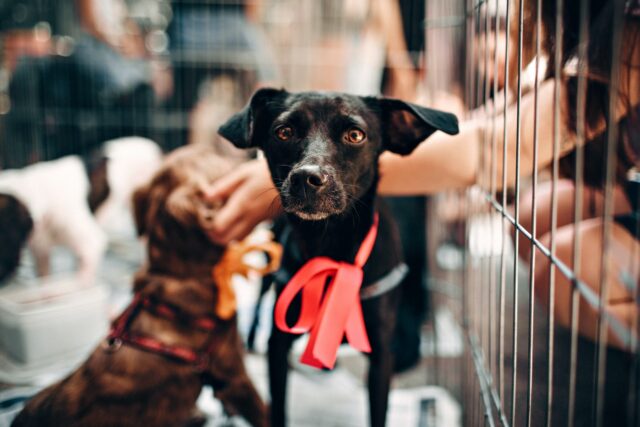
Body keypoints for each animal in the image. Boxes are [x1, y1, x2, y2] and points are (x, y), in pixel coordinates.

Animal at [218, 88, 458, 426]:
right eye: (284, 132)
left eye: (355, 135)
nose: (306, 178)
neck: (329, 244)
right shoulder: (279, 342)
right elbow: (278, 406)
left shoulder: (381, 354)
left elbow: (378, 411)